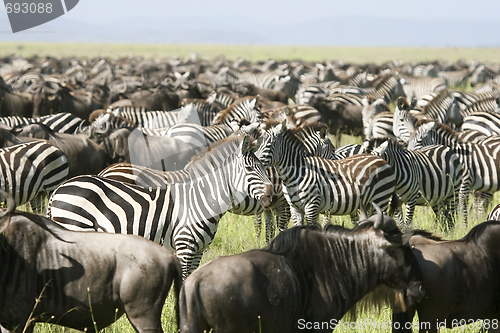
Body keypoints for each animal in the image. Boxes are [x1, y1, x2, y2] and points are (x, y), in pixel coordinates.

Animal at [47, 135, 274, 278]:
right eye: (249, 169)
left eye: (264, 168)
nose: (272, 196)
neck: (201, 198)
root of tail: (59, 189)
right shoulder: (184, 246)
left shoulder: (198, 250)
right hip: (74, 226)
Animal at [256, 122, 396, 226]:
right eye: (258, 143)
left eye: (269, 144)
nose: (255, 160)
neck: (296, 173)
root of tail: (380, 159)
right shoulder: (295, 208)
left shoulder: (312, 206)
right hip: (369, 203)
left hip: (380, 199)